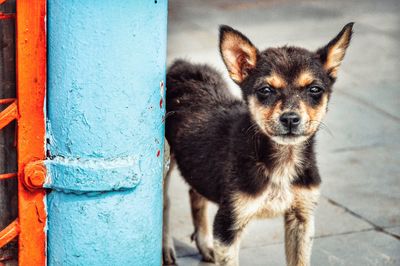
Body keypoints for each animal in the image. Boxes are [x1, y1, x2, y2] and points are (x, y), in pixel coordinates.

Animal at [162, 23, 354, 266]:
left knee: (195, 193)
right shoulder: (228, 225)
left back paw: (204, 244)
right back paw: (166, 249)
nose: (290, 119)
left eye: (314, 90)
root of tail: (180, 64)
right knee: (165, 203)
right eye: (265, 90)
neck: (281, 160)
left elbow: (300, 261)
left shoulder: (302, 218)